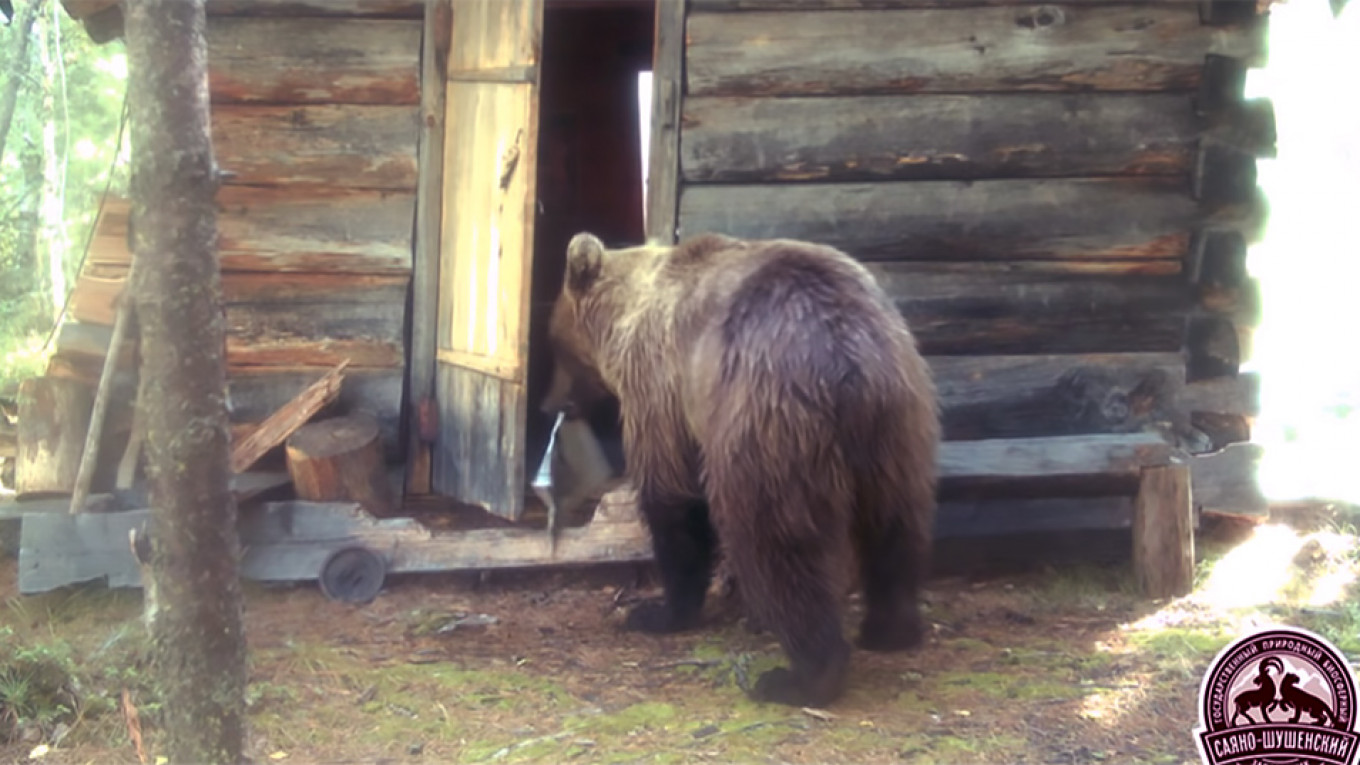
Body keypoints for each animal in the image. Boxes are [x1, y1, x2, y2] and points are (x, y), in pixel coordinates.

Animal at [538, 228, 935, 707]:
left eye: (554, 345)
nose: (548, 405)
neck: (625, 318)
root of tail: (849, 354)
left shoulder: (660, 387)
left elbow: (672, 497)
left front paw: (659, 611)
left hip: (764, 420)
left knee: (775, 541)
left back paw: (803, 675)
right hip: (897, 424)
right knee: (895, 520)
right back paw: (890, 626)